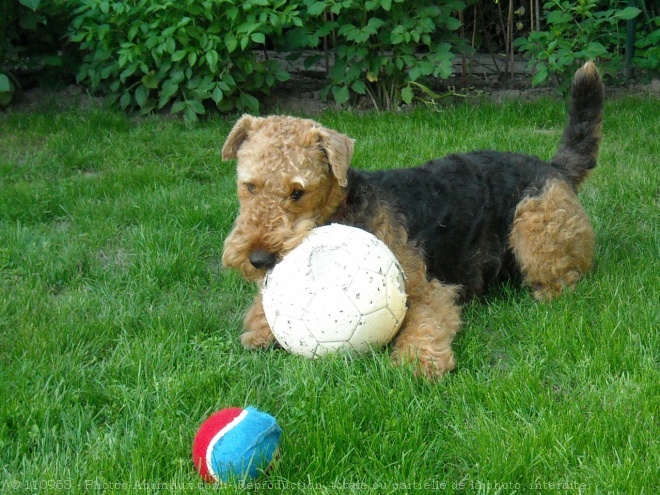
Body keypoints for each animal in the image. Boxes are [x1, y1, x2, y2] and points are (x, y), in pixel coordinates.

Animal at [220, 62, 604, 380]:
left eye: (298, 191)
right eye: (249, 185)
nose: (258, 260)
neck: (345, 206)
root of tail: (554, 168)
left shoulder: (426, 289)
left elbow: (425, 321)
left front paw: (418, 363)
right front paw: (259, 330)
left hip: (535, 227)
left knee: (565, 277)